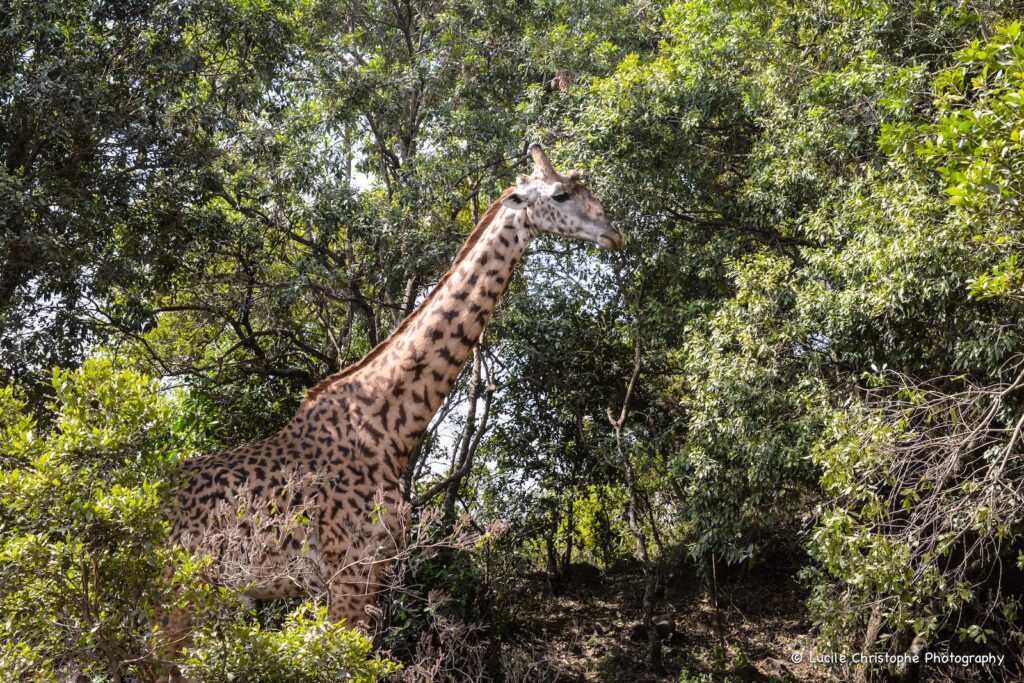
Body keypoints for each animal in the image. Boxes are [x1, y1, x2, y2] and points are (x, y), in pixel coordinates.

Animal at [159, 144, 622, 668]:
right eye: (561, 194)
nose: (614, 233)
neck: (386, 427)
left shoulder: (372, 570)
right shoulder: (346, 570)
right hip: (176, 593)